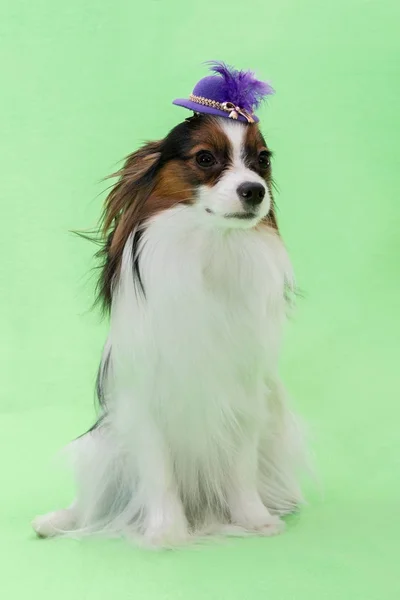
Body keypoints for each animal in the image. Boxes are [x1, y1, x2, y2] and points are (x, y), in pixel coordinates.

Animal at [32, 63, 306, 548]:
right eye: (205, 159)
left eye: (263, 161)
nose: (255, 191)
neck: (209, 246)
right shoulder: (145, 402)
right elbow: (158, 472)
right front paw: (166, 532)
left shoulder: (245, 398)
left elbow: (240, 468)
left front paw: (254, 520)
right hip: (106, 446)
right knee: (94, 501)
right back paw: (58, 520)